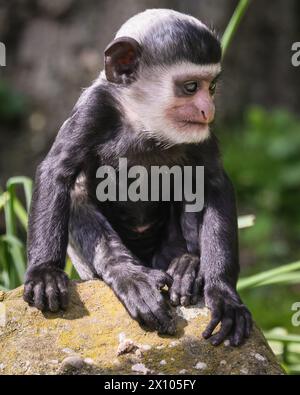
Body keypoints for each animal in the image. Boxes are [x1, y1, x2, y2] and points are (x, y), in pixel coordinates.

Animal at [24, 9, 252, 348]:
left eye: (211, 88)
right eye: (190, 87)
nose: (207, 110)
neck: (143, 121)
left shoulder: (199, 135)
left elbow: (213, 184)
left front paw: (224, 296)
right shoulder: (95, 108)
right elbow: (57, 171)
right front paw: (44, 272)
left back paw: (189, 265)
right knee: (78, 194)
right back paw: (129, 276)